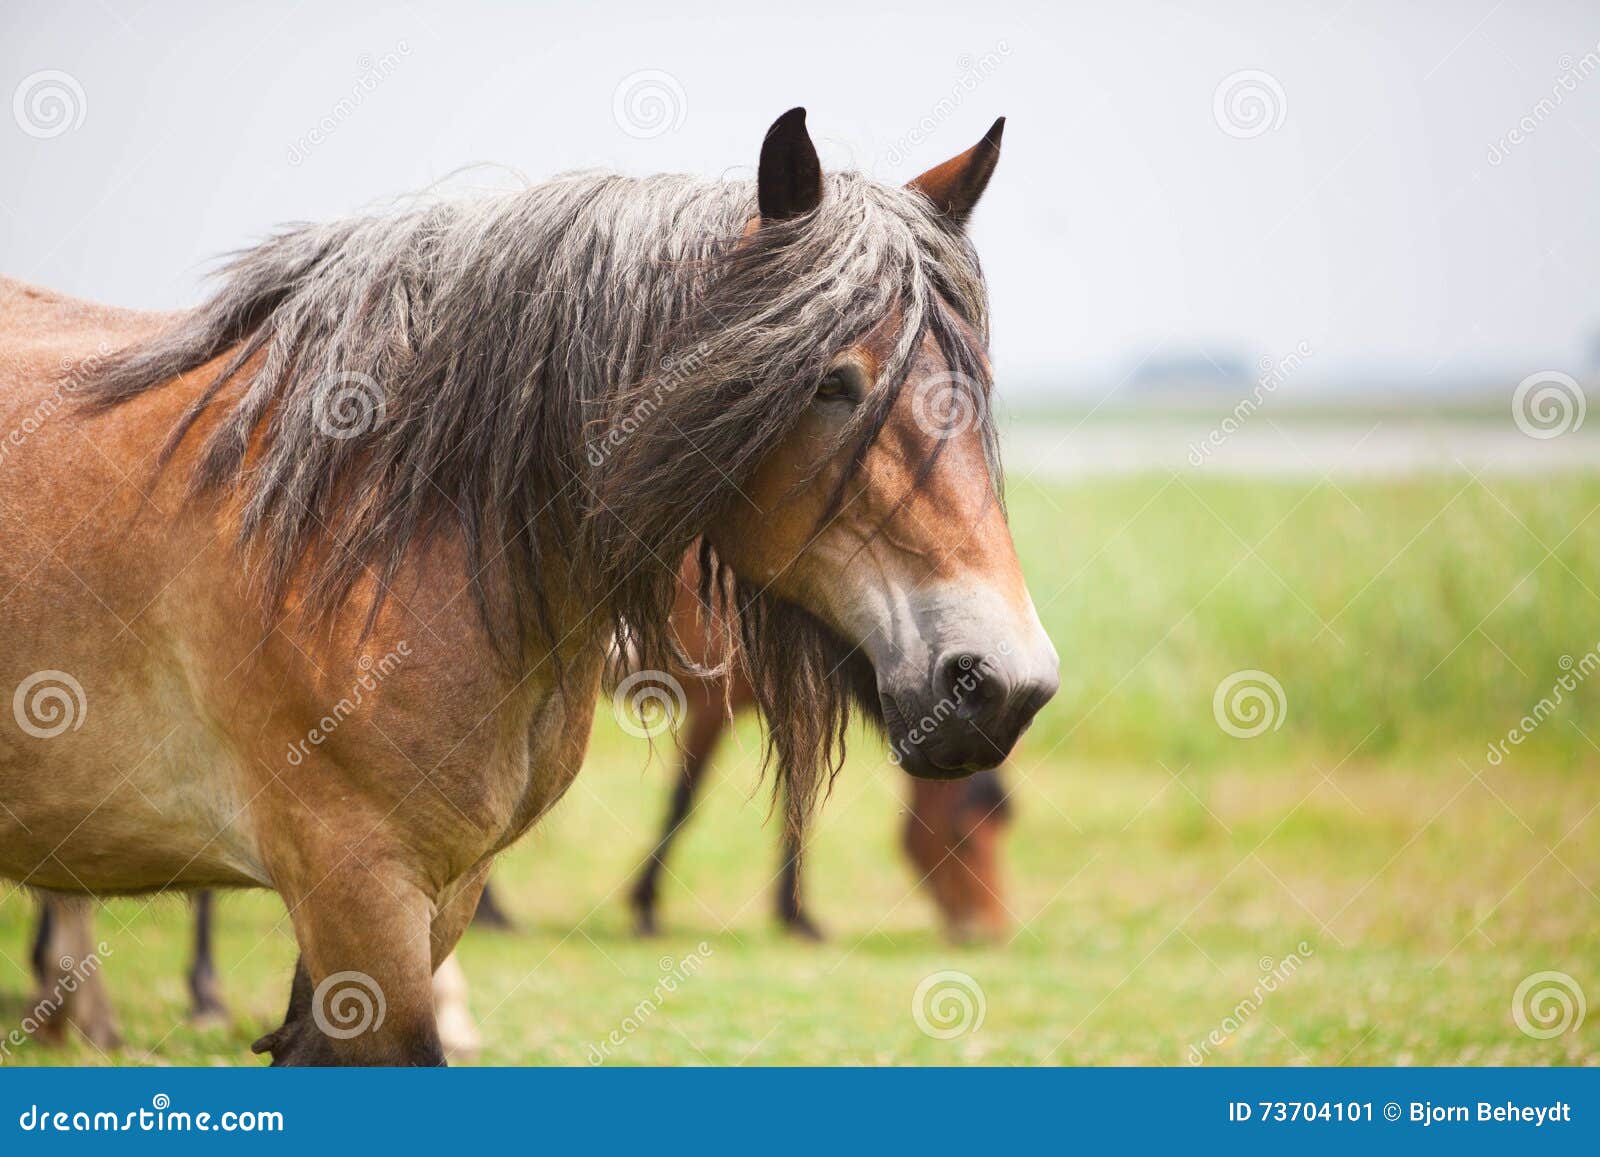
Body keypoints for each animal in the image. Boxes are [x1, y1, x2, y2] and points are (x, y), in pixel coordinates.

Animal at [0, 108, 1058, 1064]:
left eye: (974, 383)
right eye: (835, 382)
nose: (1002, 682)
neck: (387, 526)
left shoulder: (438, 890)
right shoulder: (356, 890)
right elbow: (693, 802)